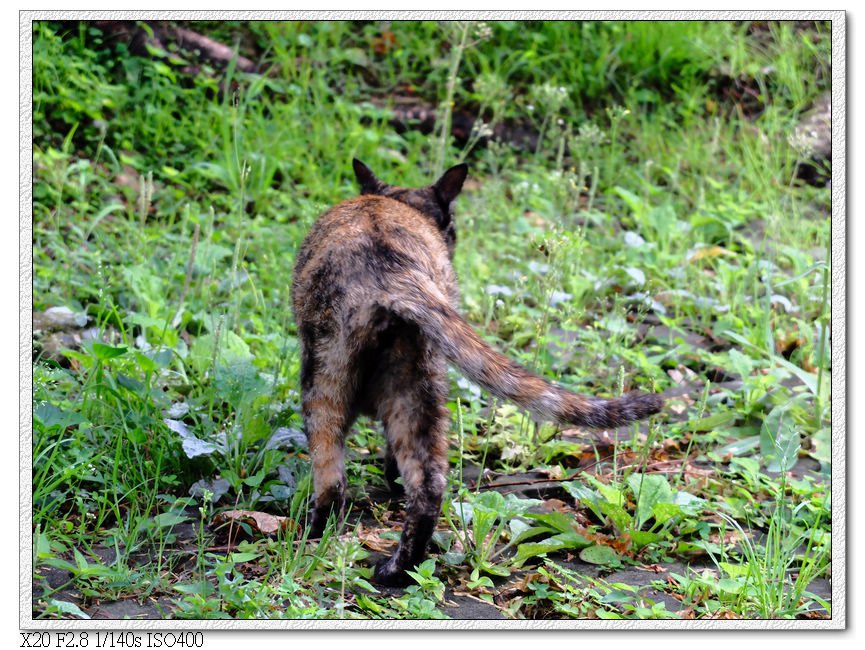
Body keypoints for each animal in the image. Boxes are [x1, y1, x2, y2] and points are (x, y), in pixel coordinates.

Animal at [290, 158, 660, 588]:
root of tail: (392, 276)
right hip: (421, 383)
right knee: (429, 483)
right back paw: (399, 569)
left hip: (323, 378)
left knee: (332, 475)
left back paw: (315, 534)